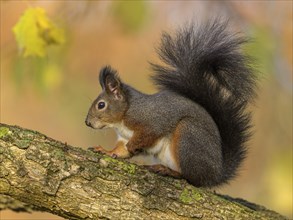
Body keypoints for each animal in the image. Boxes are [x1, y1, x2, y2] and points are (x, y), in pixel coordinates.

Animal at [84, 19, 256, 186]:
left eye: (101, 105)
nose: (87, 123)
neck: (124, 116)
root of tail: (215, 173)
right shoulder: (123, 137)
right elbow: (121, 150)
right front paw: (106, 151)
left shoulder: (151, 121)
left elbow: (148, 134)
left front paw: (133, 146)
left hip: (188, 137)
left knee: (192, 178)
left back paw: (168, 171)